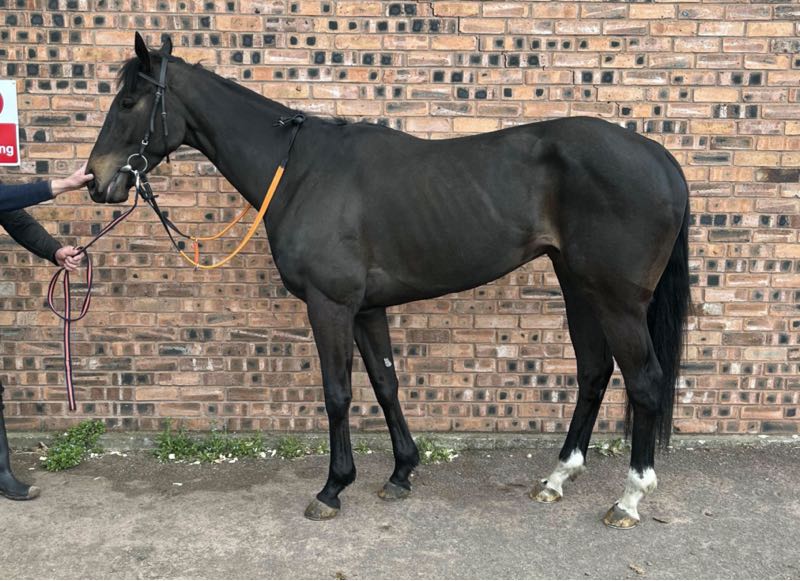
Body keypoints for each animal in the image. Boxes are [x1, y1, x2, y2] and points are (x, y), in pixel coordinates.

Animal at [86, 33, 690, 528]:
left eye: (128, 102)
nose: (96, 179)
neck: (302, 171)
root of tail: (661, 158)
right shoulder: (367, 308)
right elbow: (385, 383)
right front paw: (401, 473)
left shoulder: (330, 305)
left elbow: (337, 393)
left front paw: (332, 488)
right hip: (578, 287)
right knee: (593, 373)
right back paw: (558, 478)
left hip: (616, 299)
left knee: (644, 382)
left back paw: (629, 499)